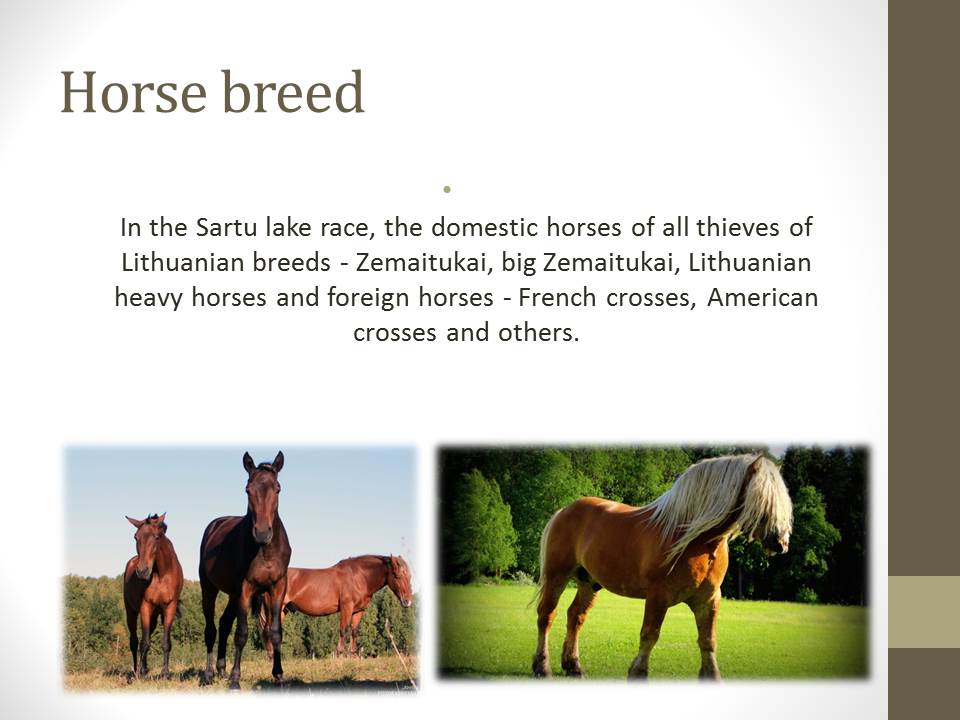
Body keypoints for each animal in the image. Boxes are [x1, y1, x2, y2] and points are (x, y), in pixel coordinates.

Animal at [122, 513, 184, 679]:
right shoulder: (145, 606)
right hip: (131, 611)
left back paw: (144, 669)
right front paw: (139, 675)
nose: (142, 571)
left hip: (154, 616)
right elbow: (144, 642)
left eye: (156, 537)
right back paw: (137, 671)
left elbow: (166, 642)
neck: (161, 574)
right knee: (135, 641)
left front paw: (165, 674)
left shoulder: (170, 607)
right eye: (136, 537)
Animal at [199, 451, 291, 689]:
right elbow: (241, 634)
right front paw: (235, 680)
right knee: (211, 630)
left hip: (232, 595)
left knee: (223, 624)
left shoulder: (278, 588)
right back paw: (209, 674)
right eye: (248, 489)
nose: (262, 532)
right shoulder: (245, 589)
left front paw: (279, 675)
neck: (264, 551)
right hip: (210, 589)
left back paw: (221, 669)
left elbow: (275, 632)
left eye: (277, 488)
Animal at [257, 555, 414, 659]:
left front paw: (353, 655)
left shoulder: (358, 611)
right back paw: (271, 657)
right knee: (267, 631)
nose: (407, 601)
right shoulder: (346, 608)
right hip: (273, 609)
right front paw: (339, 655)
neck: (359, 577)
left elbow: (354, 632)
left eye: (409, 576)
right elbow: (343, 630)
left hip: (283, 611)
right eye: (397, 575)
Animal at [532, 454, 793, 680]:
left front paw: (712, 675)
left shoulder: (708, 600)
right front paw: (638, 673)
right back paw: (542, 667)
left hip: (589, 583)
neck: (693, 538)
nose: (781, 542)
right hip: (557, 577)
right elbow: (650, 635)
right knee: (546, 616)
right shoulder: (658, 596)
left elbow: (707, 640)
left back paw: (573, 666)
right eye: (763, 498)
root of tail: (564, 511)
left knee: (575, 616)